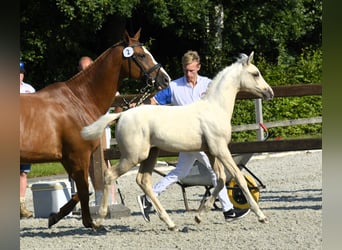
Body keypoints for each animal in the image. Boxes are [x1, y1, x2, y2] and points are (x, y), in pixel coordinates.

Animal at [19, 28, 170, 229]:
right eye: (141, 55)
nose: (166, 79)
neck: (79, 100)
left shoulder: (68, 158)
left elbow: (81, 191)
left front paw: (55, 216)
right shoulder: (79, 156)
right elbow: (83, 190)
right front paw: (90, 222)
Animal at [81, 52, 274, 230]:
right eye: (255, 73)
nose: (269, 92)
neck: (215, 108)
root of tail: (122, 115)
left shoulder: (211, 151)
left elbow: (219, 180)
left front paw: (198, 217)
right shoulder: (220, 149)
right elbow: (239, 178)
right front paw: (261, 216)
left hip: (150, 154)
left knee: (143, 181)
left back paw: (169, 222)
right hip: (133, 156)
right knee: (110, 175)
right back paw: (99, 220)